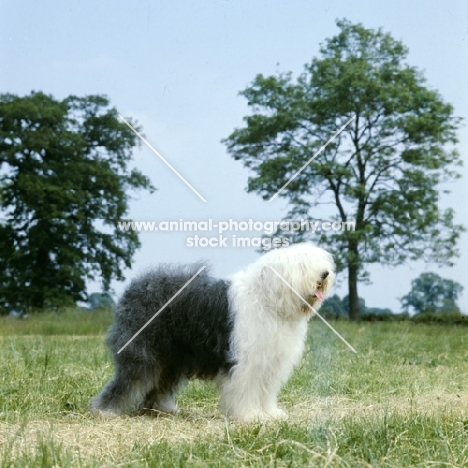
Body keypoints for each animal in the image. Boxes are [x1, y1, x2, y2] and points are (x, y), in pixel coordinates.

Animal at [89, 243, 334, 422]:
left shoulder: (270, 363)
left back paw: (160, 409)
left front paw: (271, 414)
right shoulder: (245, 363)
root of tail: (136, 287)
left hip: (171, 358)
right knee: (127, 382)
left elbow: (266, 392)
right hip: (142, 352)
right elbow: (246, 390)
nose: (325, 273)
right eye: (301, 265)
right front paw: (249, 416)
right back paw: (105, 410)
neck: (269, 301)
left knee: (158, 384)